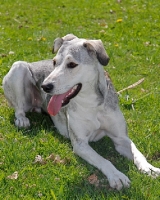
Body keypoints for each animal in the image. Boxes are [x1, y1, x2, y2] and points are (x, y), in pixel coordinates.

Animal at [2, 33, 160, 190]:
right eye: (54, 63)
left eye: (72, 64)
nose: (45, 86)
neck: (92, 104)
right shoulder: (80, 143)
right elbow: (103, 159)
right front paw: (116, 176)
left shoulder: (121, 138)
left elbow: (137, 152)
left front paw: (149, 168)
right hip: (19, 67)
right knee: (19, 108)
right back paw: (22, 120)